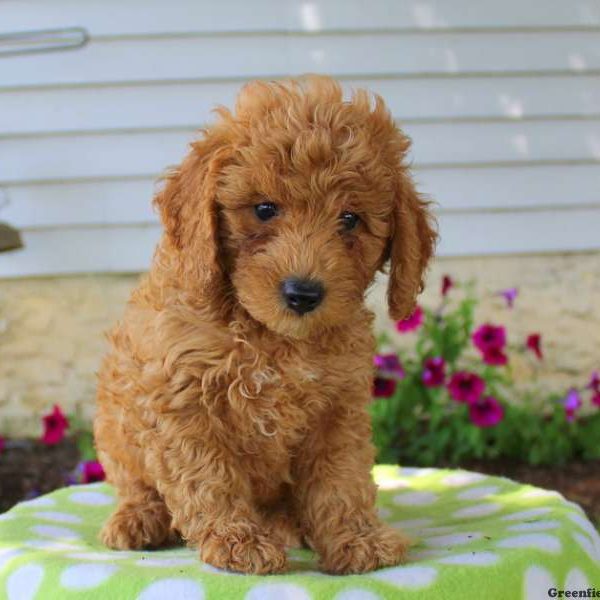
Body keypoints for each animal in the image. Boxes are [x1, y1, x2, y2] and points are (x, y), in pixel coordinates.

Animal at [96, 76, 438, 576]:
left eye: (350, 219)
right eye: (263, 209)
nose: (303, 294)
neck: (271, 337)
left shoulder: (339, 406)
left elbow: (341, 477)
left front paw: (357, 538)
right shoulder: (180, 400)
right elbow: (207, 477)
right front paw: (236, 541)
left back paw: (287, 524)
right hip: (114, 427)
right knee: (135, 485)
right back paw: (139, 518)